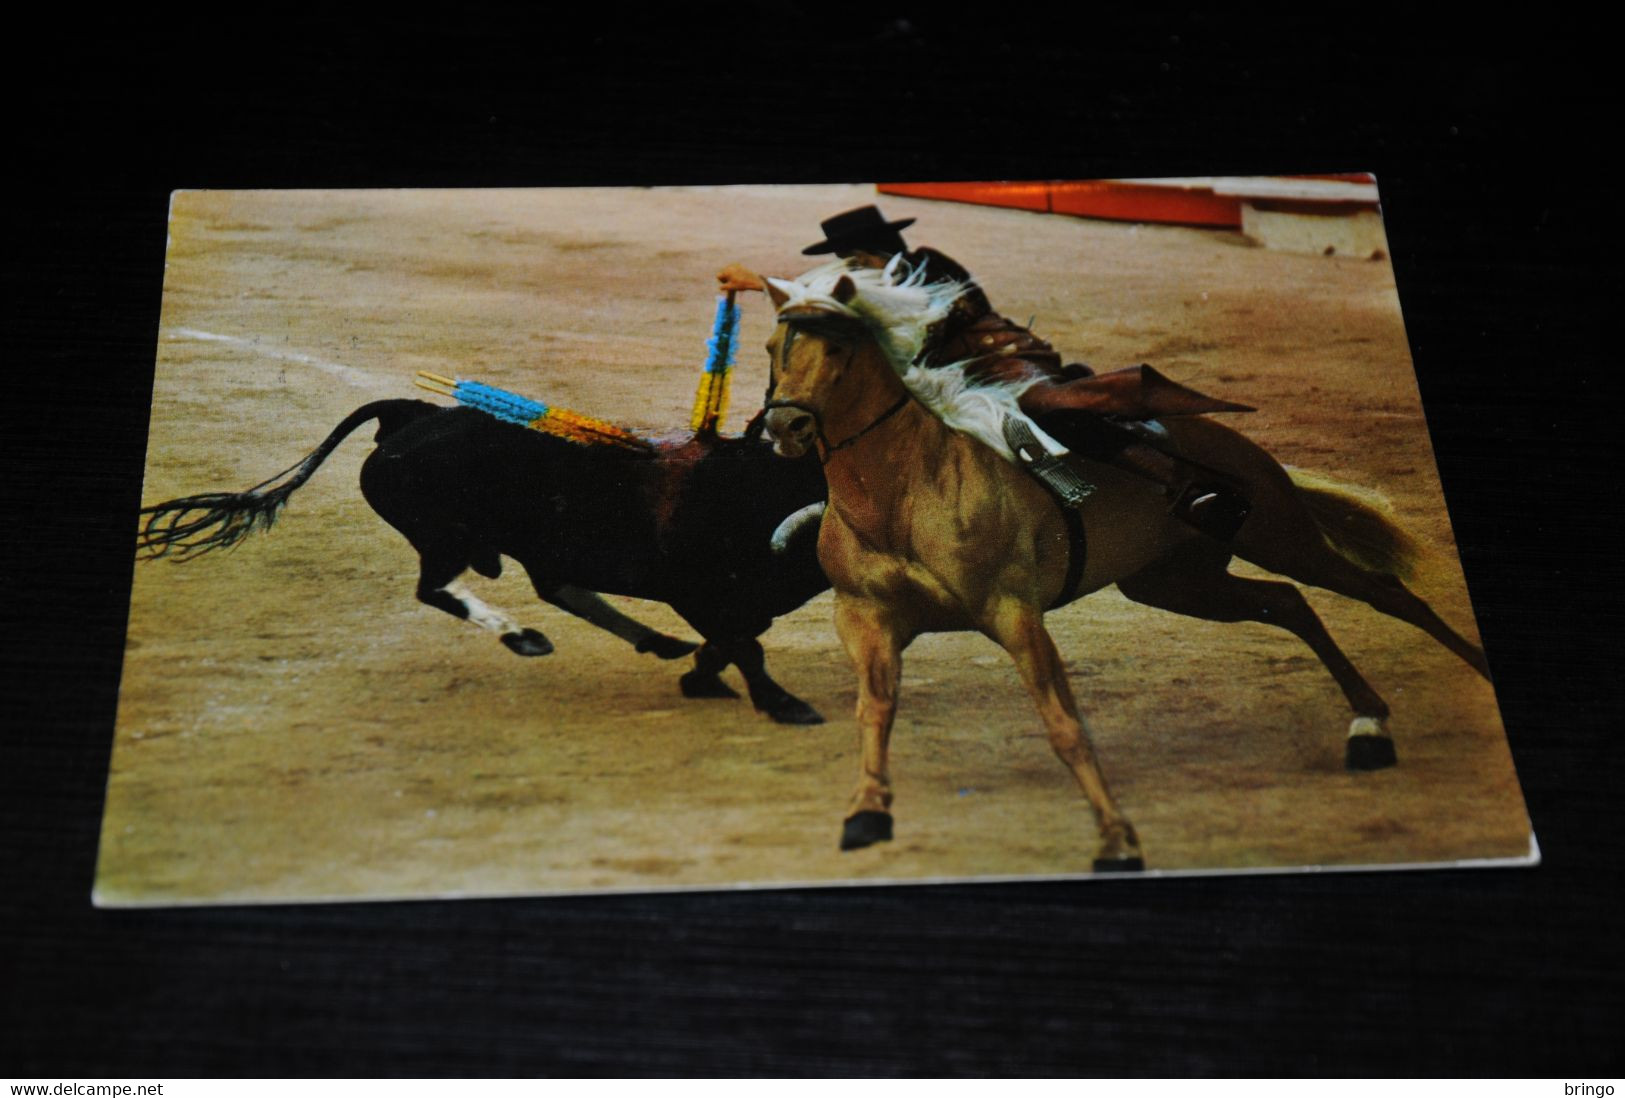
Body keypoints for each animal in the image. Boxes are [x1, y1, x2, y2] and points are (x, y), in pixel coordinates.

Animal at [133, 399, 832, 724]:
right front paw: (785, 704)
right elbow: (746, 645)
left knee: (553, 587)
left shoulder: (731, 602)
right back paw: (526, 638)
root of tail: (408, 414)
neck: (759, 494)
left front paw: (701, 676)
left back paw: (653, 643)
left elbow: (735, 640)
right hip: (445, 537)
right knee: (438, 589)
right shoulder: (700, 591)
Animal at [757, 261, 1488, 870]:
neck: (902, 493)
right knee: (1286, 603)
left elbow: (1064, 726)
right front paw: (866, 813)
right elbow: (874, 710)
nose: (785, 426)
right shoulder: (867, 618)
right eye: (771, 350)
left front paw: (1116, 839)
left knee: (1386, 594)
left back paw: (1456, 679)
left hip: (1279, 534)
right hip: (1176, 582)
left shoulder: (1012, 612)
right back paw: (1367, 725)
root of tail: (1235, 443)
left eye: (838, 350)